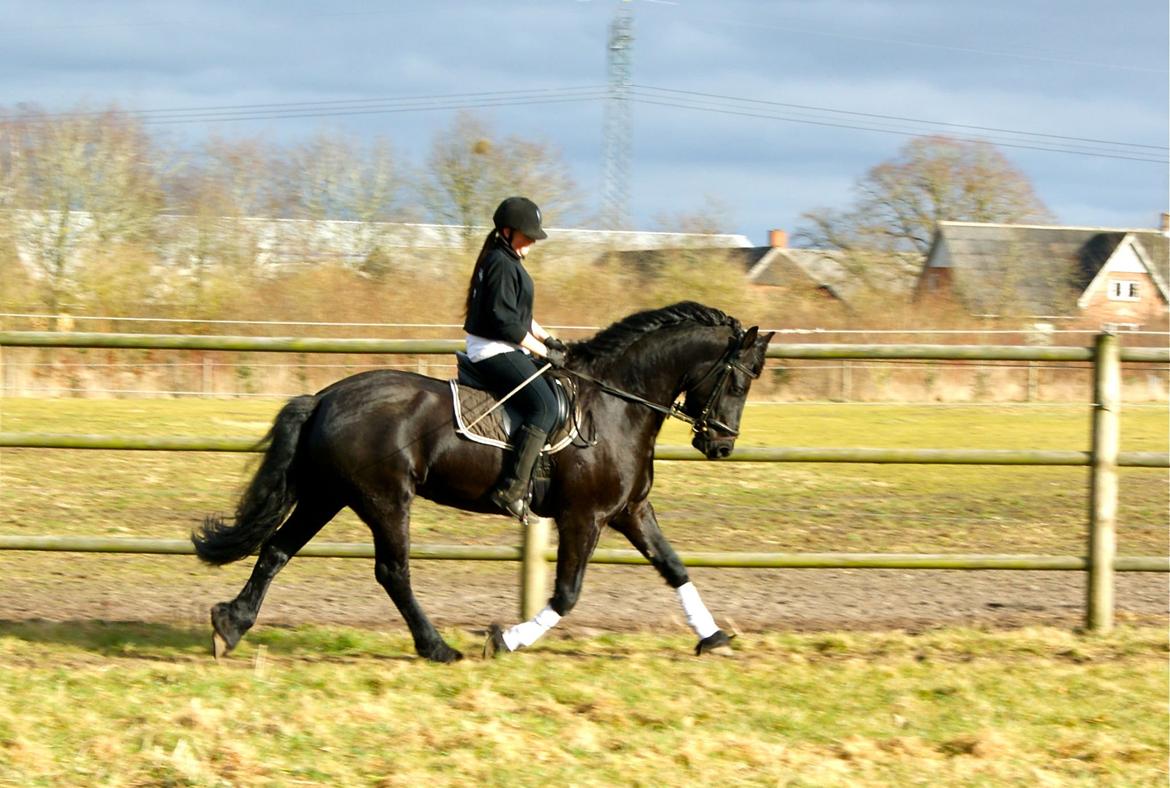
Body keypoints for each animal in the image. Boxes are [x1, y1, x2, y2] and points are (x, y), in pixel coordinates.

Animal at [193, 299, 776, 654]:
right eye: (739, 382)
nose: (721, 445)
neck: (615, 404)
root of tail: (325, 397)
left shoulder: (629, 511)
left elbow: (674, 567)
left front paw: (713, 637)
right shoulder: (583, 516)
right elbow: (567, 594)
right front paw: (506, 639)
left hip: (327, 495)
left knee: (276, 550)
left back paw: (230, 625)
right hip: (384, 500)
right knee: (392, 572)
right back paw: (437, 648)